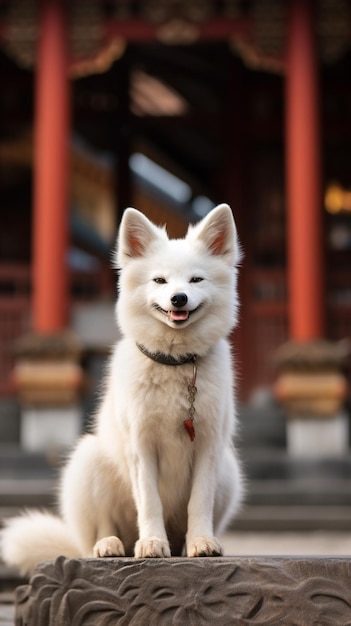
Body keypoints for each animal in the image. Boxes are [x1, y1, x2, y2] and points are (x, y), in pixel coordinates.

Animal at [1, 202, 245, 572]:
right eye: (159, 280)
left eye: (196, 279)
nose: (178, 298)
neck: (175, 364)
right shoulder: (141, 448)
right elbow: (150, 502)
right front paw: (152, 543)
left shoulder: (208, 446)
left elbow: (199, 502)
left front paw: (201, 542)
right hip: (89, 460)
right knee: (102, 529)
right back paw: (111, 545)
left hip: (229, 470)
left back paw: (181, 543)